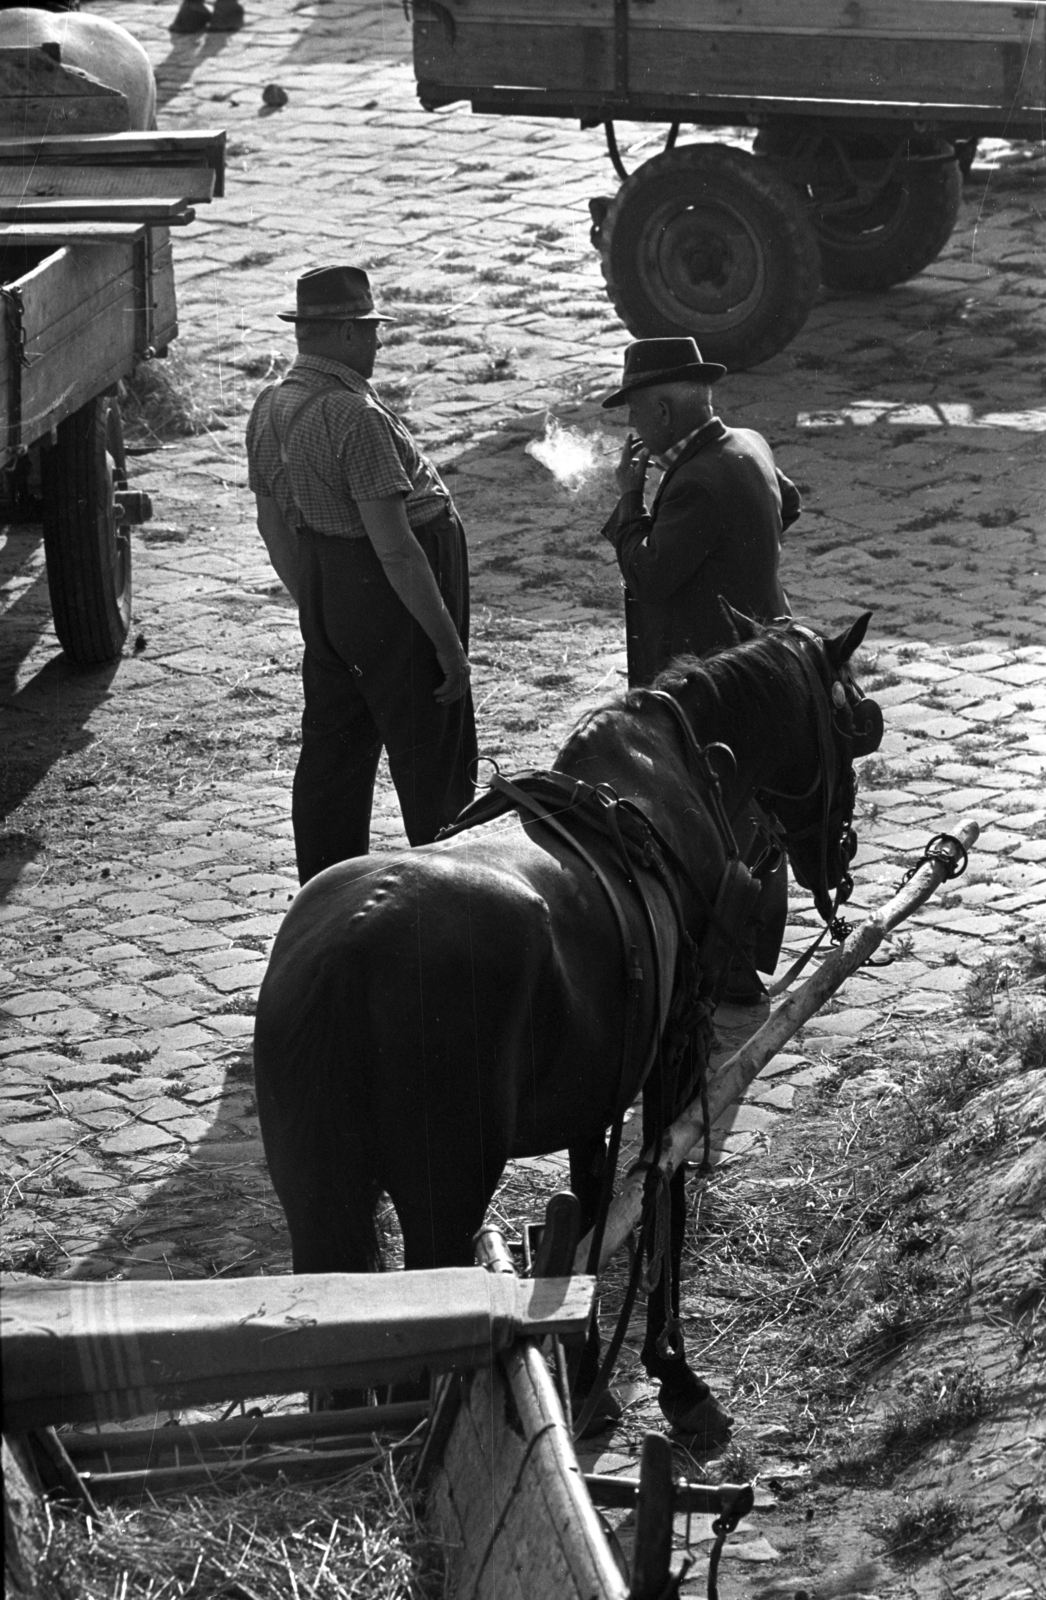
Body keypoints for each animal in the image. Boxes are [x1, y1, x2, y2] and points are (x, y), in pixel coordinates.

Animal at [254, 611, 882, 1440]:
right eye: (846, 721)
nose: (840, 857)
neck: (670, 772)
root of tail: (350, 943)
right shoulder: (673, 1056)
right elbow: (660, 1197)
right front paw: (673, 1372)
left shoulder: (600, 1087)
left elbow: (589, 1209)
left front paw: (588, 1373)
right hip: (441, 1196)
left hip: (316, 1199)